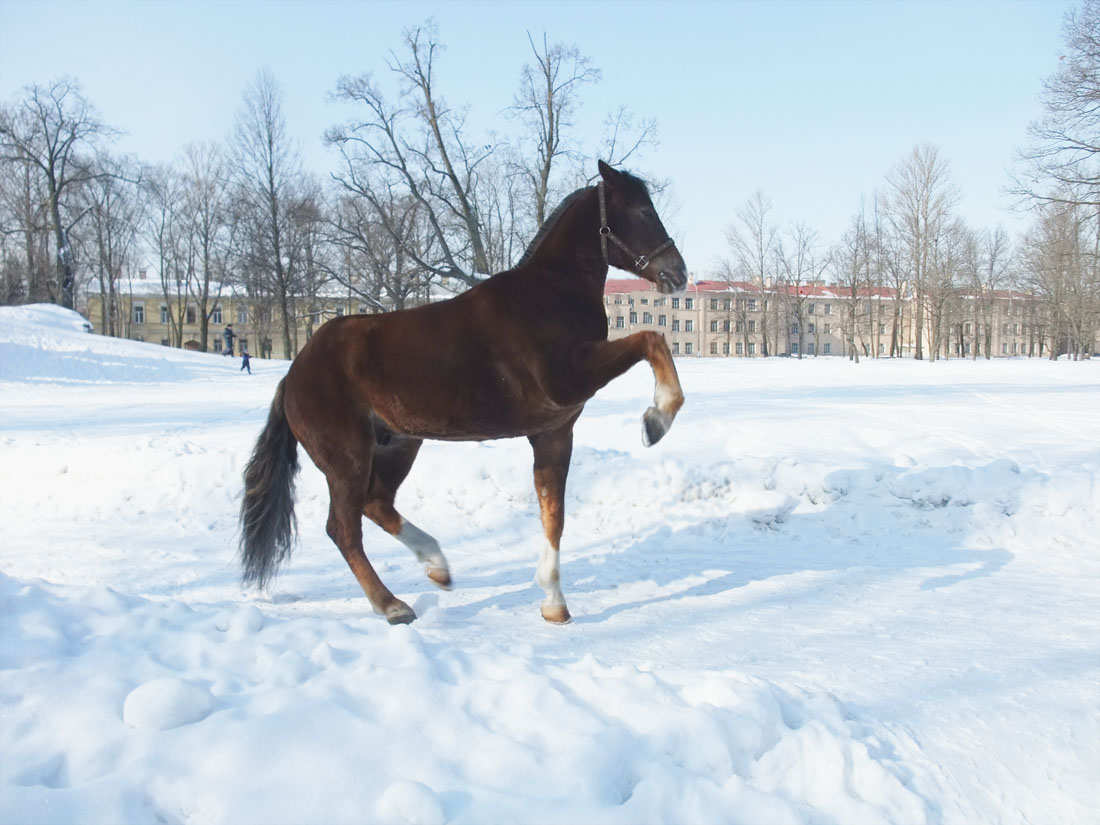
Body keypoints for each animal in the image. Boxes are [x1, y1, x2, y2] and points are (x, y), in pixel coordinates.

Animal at [242, 161, 686, 624]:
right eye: (642, 210)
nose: (679, 273)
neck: (548, 295)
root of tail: (293, 375)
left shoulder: (554, 432)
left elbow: (554, 514)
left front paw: (553, 603)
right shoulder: (569, 381)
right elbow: (651, 339)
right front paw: (656, 420)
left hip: (397, 445)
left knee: (376, 503)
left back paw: (437, 566)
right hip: (347, 458)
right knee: (343, 529)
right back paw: (393, 604)